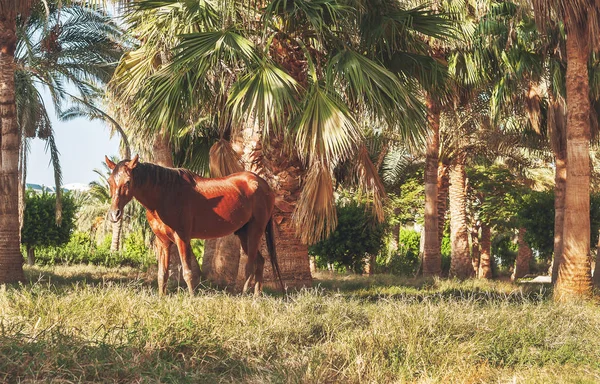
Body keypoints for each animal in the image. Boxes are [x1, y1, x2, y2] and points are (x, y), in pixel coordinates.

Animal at [105, 154, 284, 296]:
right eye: (109, 181)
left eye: (128, 182)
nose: (114, 214)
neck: (165, 194)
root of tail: (264, 185)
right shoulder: (163, 242)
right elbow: (162, 274)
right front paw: (162, 298)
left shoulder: (182, 238)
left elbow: (188, 272)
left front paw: (191, 299)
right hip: (243, 234)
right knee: (260, 262)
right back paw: (256, 297)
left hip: (255, 231)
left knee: (250, 265)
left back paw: (245, 294)